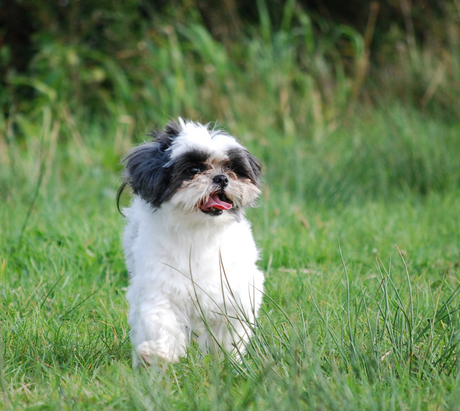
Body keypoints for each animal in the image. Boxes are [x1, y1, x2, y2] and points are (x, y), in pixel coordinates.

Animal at [117, 118, 264, 366]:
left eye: (230, 169)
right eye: (194, 170)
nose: (221, 178)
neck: (199, 233)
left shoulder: (233, 289)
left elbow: (228, 330)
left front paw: (224, 359)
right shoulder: (158, 287)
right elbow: (160, 321)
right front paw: (157, 354)